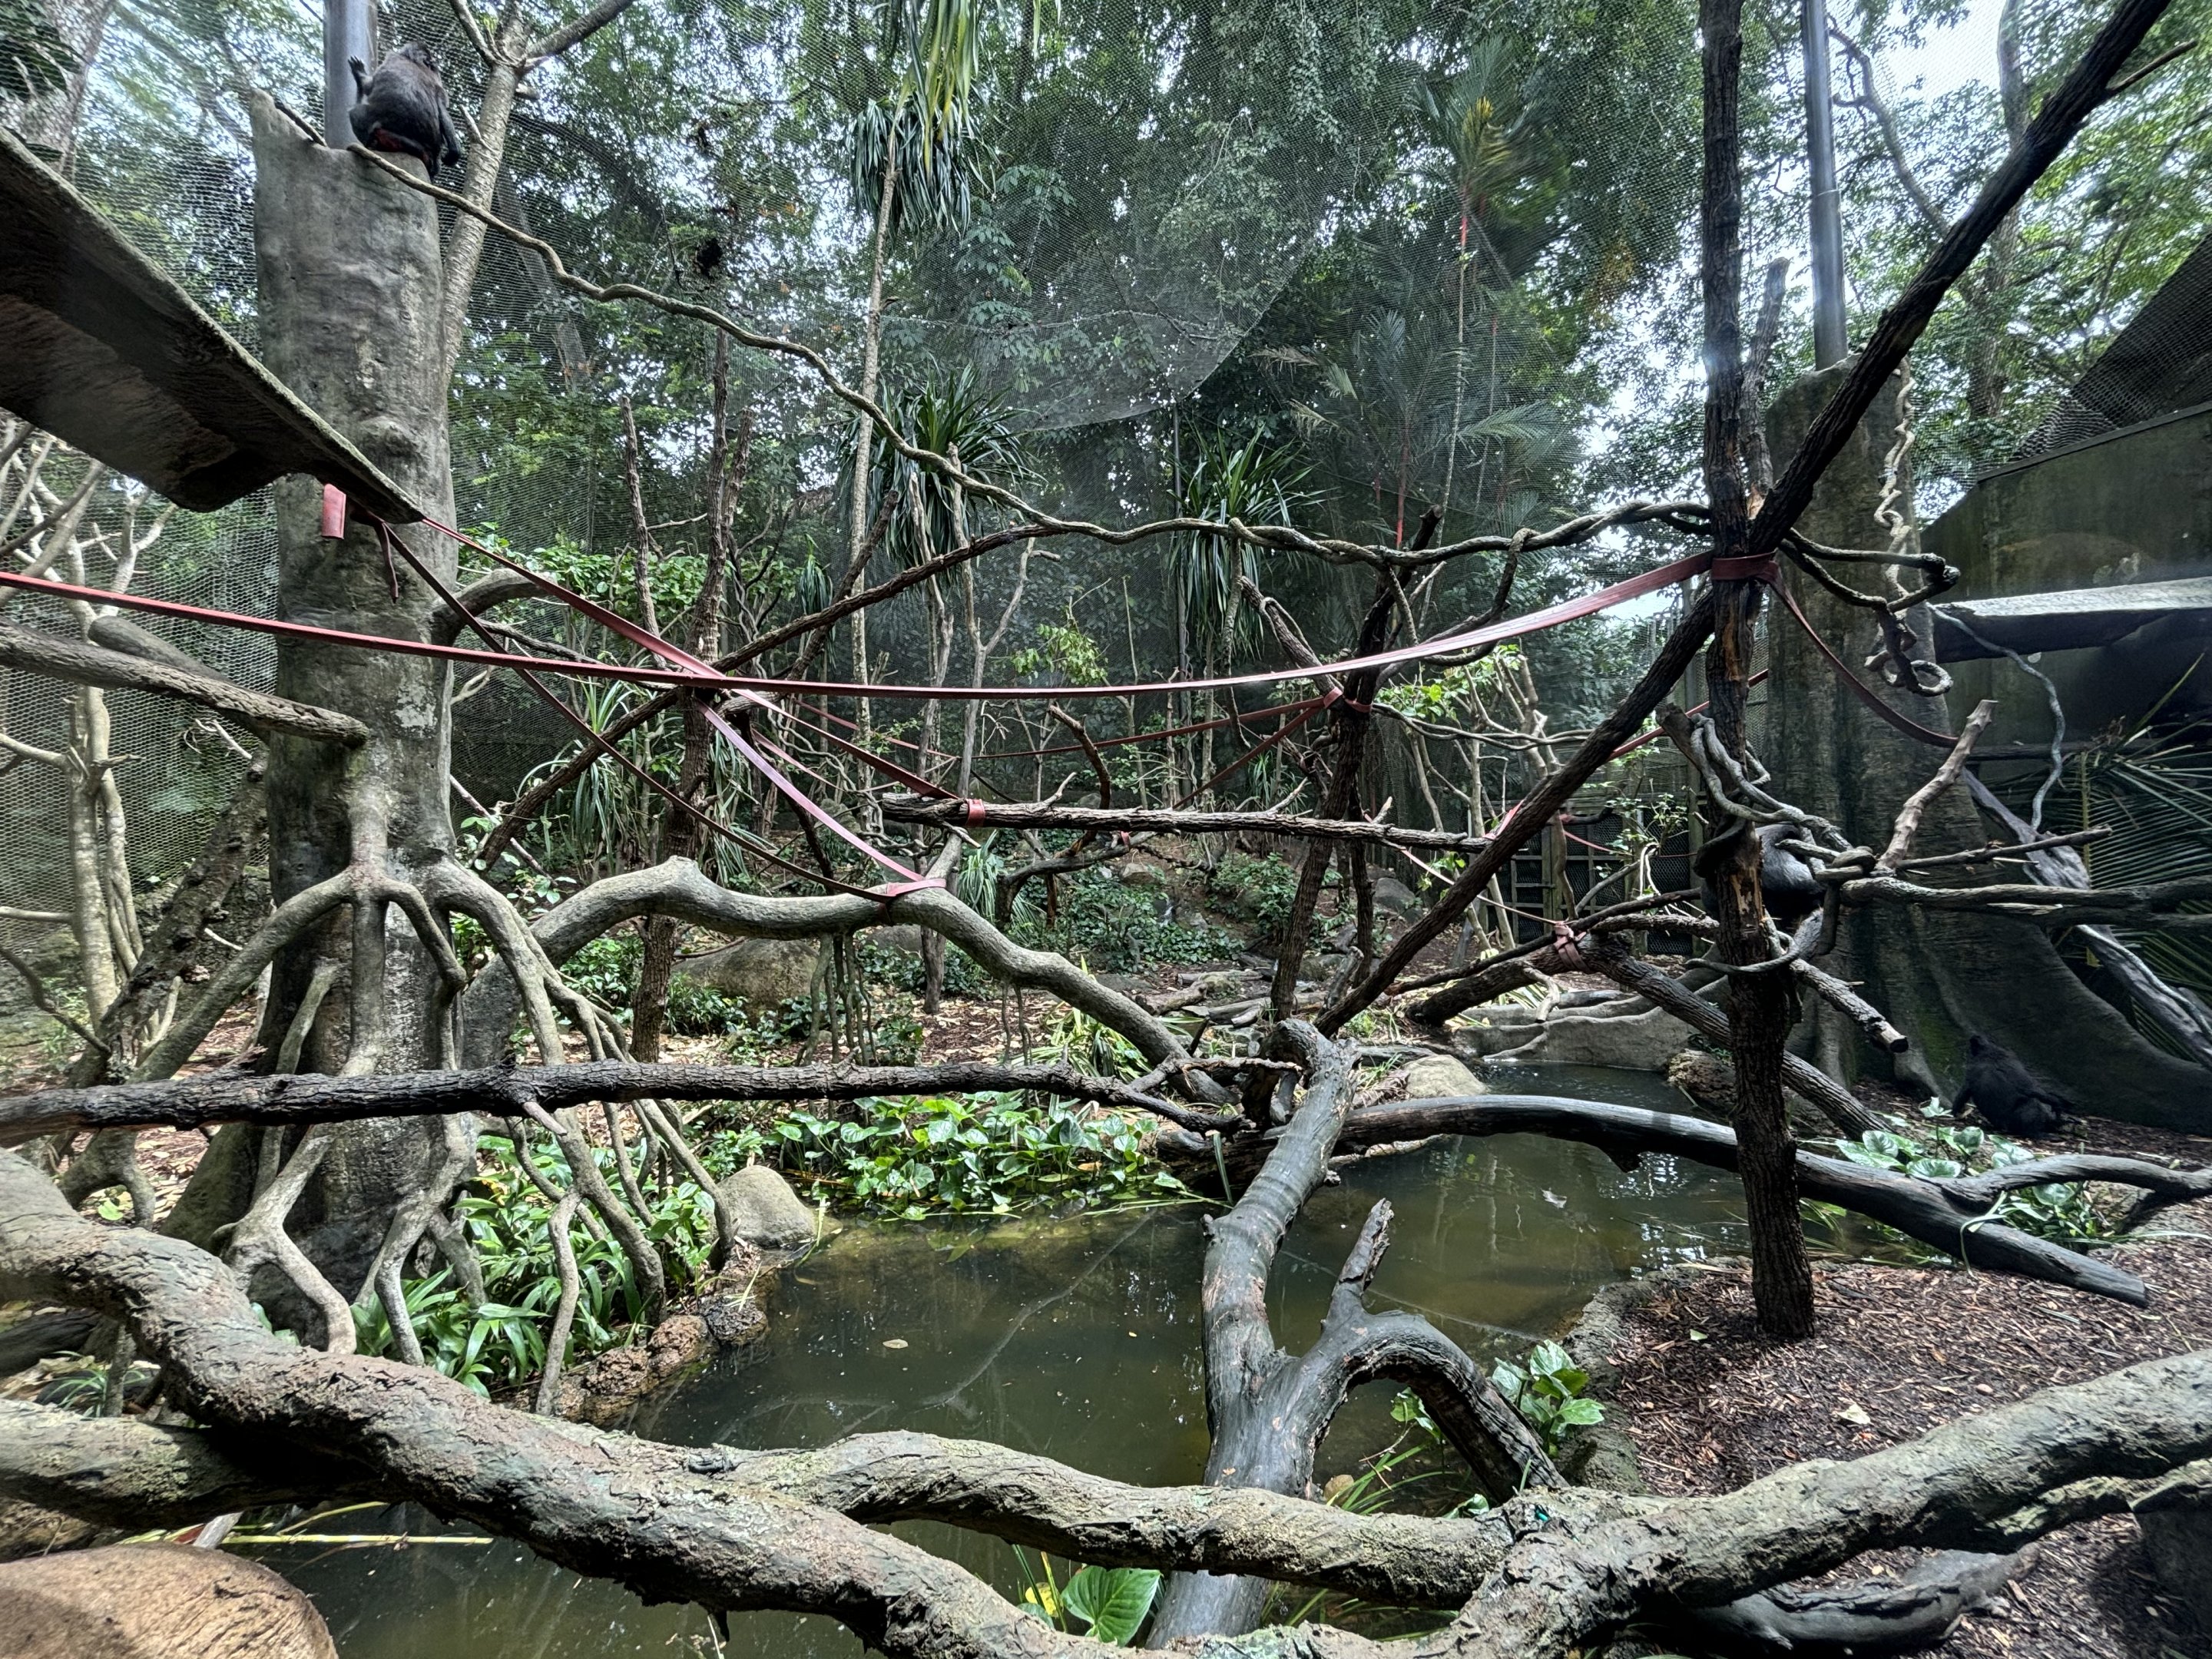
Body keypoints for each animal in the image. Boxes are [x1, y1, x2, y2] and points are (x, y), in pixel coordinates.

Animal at [347, 44, 463, 181]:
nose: (433, 64)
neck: (412, 60)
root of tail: (429, 155)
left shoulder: (390, 60)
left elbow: (368, 85)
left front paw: (359, 74)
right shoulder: (437, 83)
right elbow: (442, 108)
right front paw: (454, 152)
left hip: (399, 141)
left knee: (356, 114)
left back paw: (370, 144)